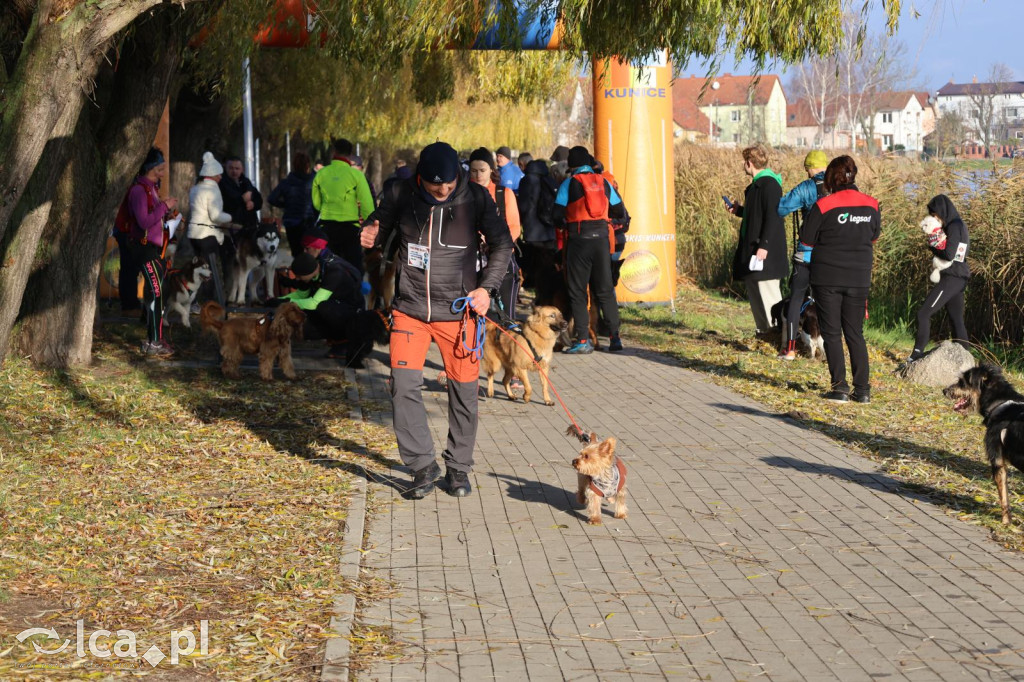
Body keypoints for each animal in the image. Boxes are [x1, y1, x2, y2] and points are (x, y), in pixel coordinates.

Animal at [942, 364, 1024, 522]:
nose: (944, 391)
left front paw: (1006, 522)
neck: (998, 403)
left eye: (962, 382)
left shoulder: (997, 462)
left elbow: (1004, 497)